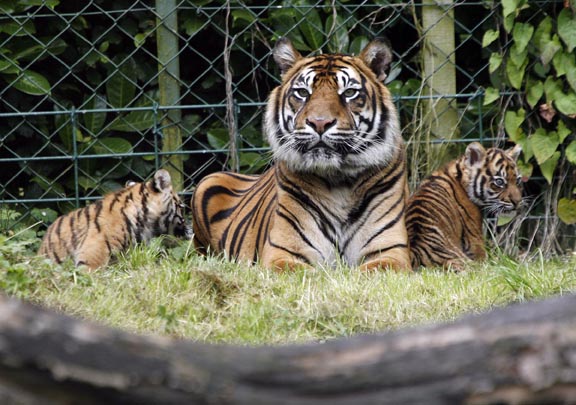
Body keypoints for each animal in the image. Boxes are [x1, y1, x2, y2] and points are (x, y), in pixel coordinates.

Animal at [191, 38, 412, 272]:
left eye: (349, 93)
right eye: (303, 93)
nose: (320, 122)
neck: (338, 181)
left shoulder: (391, 252)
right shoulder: (281, 253)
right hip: (207, 183)